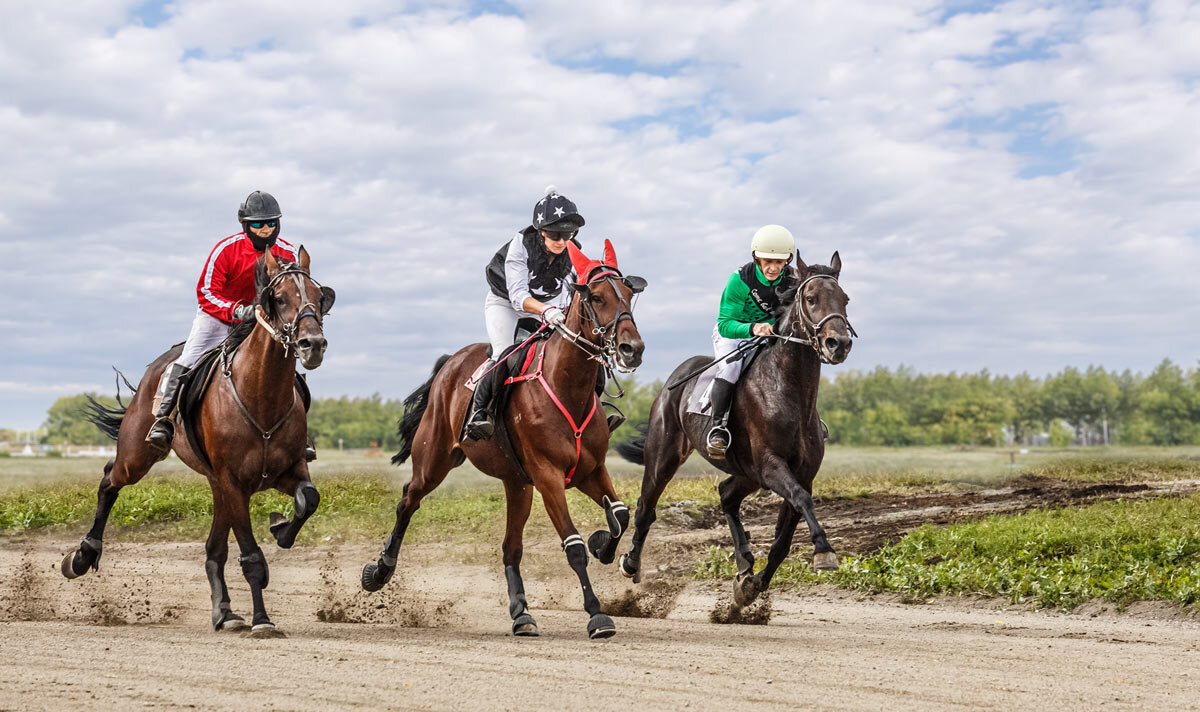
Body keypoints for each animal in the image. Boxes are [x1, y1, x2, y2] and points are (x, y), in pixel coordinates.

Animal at [60, 247, 333, 633]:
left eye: (319, 296)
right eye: (279, 298)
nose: (313, 345)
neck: (261, 398)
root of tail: (159, 364)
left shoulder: (286, 471)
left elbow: (308, 499)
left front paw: (281, 528)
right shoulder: (234, 483)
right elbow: (251, 556)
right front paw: (262, 620)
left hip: (215, 484)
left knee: (213, 548)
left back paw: (225, 612)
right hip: (138, 457)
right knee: (110, 478)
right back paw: (84, 555)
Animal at [360, 238, 648, 638]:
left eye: (628, 294)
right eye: (595, 296)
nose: (631, 349)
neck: (568, 387)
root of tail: (451, 361)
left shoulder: (589, 470)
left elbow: (620, 514)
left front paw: (603, 544)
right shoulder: (548, 476)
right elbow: (573, 545)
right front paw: (597, 615)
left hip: (517, 483)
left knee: (511, 547)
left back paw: (522, 614)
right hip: (434, 461)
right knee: (408, 501)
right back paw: (379, 571)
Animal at [619, 250, 854, 605]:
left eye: (845, 299)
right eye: (811, 298)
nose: (838, 343)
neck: (790, 393)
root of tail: (676, 377)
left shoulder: (801, 473)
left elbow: (784, 538)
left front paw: (751, 586)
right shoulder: (771, 466)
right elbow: (801, 500)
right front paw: (825, 552)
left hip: (746, 472)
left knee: (727, 495)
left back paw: (744, 561)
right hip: (664, 456)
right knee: (646, 507)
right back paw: (630, 563)